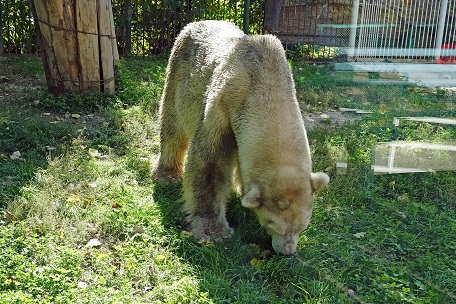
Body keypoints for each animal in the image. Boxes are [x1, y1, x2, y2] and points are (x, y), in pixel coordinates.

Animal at [153, 20, 328, 255]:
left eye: (303, 226)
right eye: (272, 223)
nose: (287, 252)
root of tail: (194, 23)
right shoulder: (224, 104)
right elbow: (209, 162)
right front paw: (214, 231)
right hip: (179, 69)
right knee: (172, 124)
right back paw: (167, 174)